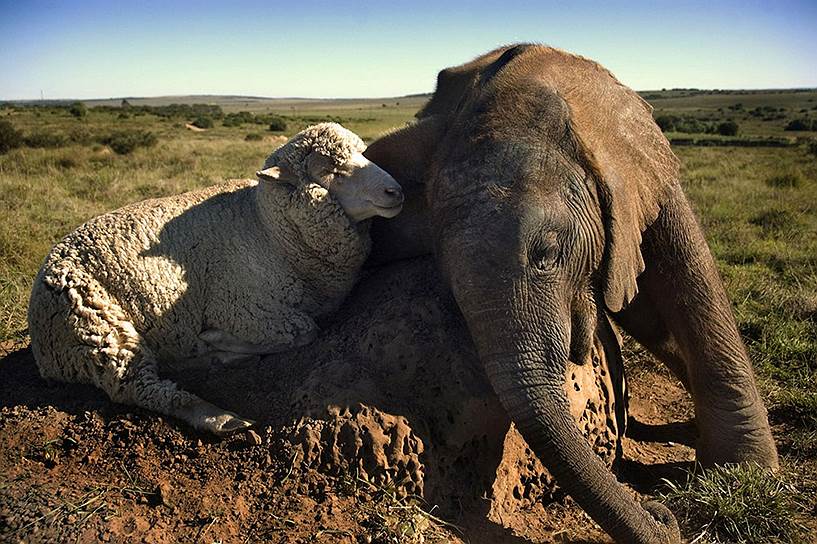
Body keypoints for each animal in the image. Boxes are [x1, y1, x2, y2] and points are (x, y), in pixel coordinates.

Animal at [27, 122, 404, 434]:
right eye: (330, 171)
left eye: (362, 153)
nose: (396, 192)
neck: (268, 229)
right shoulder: (241, 309)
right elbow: (304, 330)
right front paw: (217, 341)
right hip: (95, 326)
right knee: (137, 387)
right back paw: (221, 413)